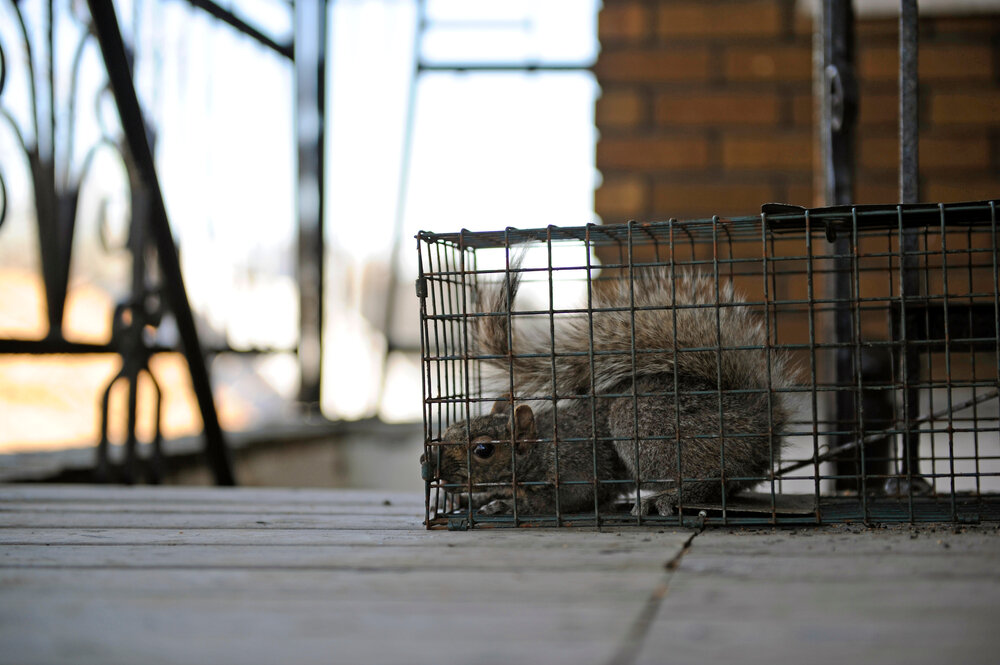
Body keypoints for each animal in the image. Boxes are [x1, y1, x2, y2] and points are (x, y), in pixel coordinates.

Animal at [422, 257, 794, 517]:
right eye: (452, 427)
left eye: (484, 450)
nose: (430, 460)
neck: (541, 447)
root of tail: (756, 415)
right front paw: (473, 496)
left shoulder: (577, 469)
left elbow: (565, 500)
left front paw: (506, 504)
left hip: (643, 425)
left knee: (714, 479)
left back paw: (668, 497)